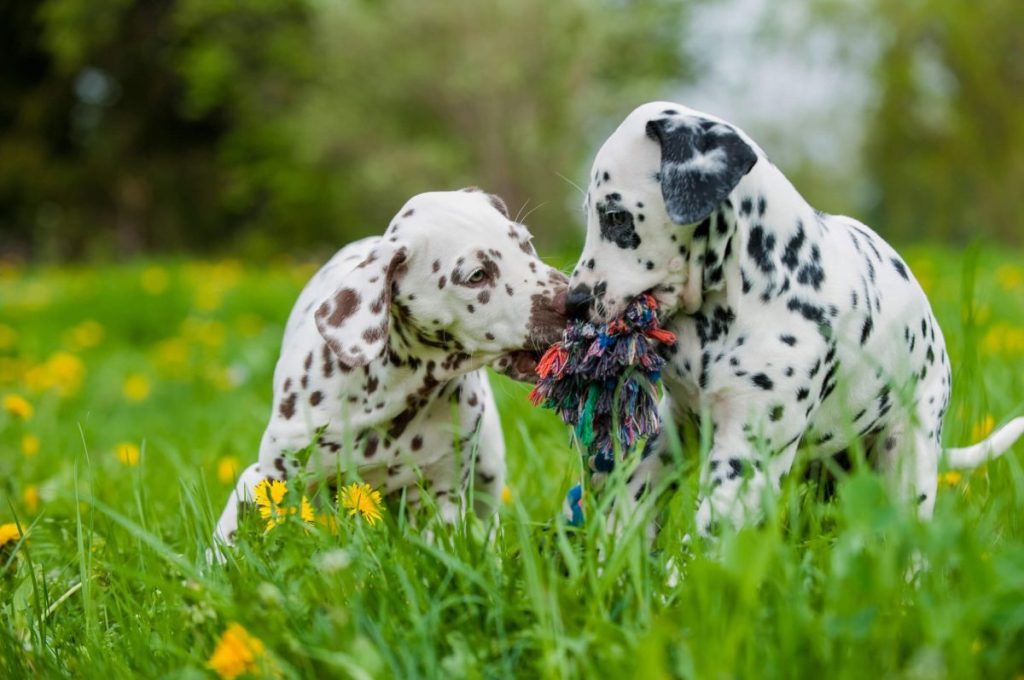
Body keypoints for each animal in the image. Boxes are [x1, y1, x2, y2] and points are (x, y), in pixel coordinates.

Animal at [214, 187, 569, 548]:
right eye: (477, 276)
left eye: (526, 244)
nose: (573, 301)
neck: (390, 395)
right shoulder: (266, 478)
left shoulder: (445, 495)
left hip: (487, 470)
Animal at [565, 100, 1024, 536]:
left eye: (616, 217)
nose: (573, 302)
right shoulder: (674, 429)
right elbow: (630, 502)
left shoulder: (747, 456)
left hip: (909, 456)